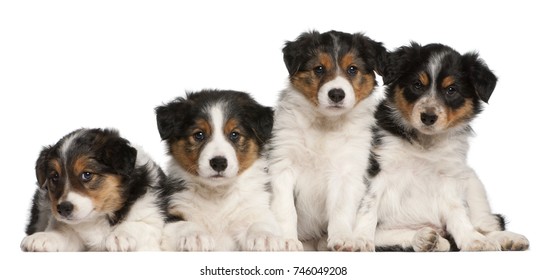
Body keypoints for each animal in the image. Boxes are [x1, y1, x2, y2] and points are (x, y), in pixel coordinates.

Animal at [20, 129, 166, 252]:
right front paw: (43, 237)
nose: (63, 208)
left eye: (87, 174)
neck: (98, 217)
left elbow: (139, 225)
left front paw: (120, 236)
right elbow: (62, 233)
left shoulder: (152, 218)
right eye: (55, 177)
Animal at [268, 30, 386, 252]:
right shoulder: (282, 164)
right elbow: (285, 208)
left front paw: (343, 239)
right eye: (319, 69)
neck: (326, 124)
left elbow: (341, 207)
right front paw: (287, 241)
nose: (336, 94)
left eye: (352, 69)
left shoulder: (348, 170)